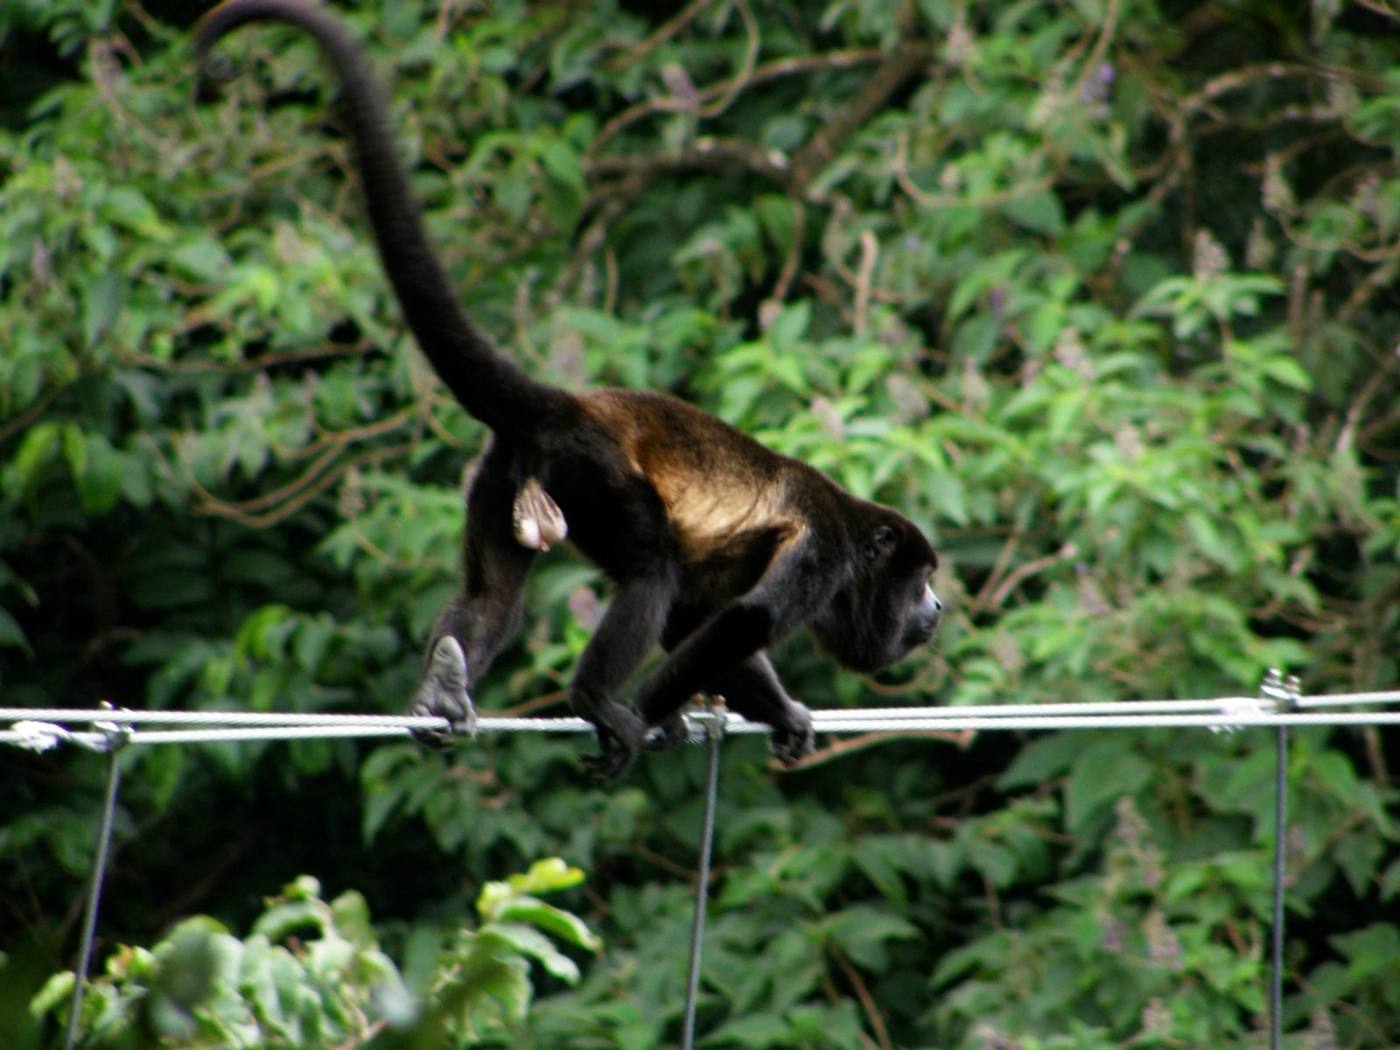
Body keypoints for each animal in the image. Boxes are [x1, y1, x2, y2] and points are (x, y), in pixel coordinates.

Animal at [195, 0, 943, 780]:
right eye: (920, 579)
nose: (940, 607)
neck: (854, 540)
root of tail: (568, 405)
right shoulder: (823, 545)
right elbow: (741, 620)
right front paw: (653, 712)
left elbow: (697, 620)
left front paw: (785, 714)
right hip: (597, 473)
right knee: (650, 570)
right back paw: (595, 699)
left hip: (506, 476)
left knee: (491, 592)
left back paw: (444, 686)